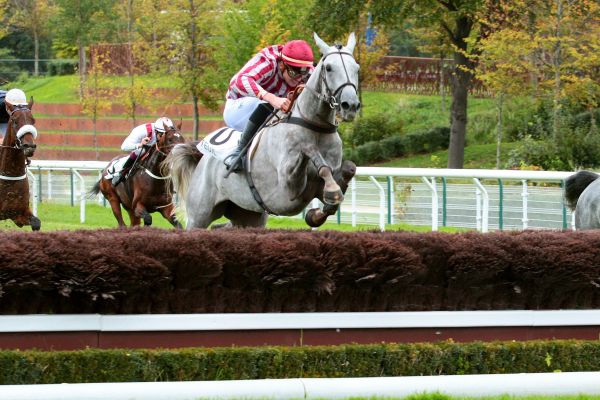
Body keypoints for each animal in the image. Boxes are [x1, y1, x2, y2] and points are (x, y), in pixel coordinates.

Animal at [166, 32, 358, 228]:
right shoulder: (288, 187)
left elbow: (348, 170)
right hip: (199, 216)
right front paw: (331, 190)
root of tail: (202, 158)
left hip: (248, 215)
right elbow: (311, 153)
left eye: (356, 68)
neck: (314, 124)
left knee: (222, 226)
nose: (350, 105)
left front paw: (317, 213)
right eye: (328, 68)